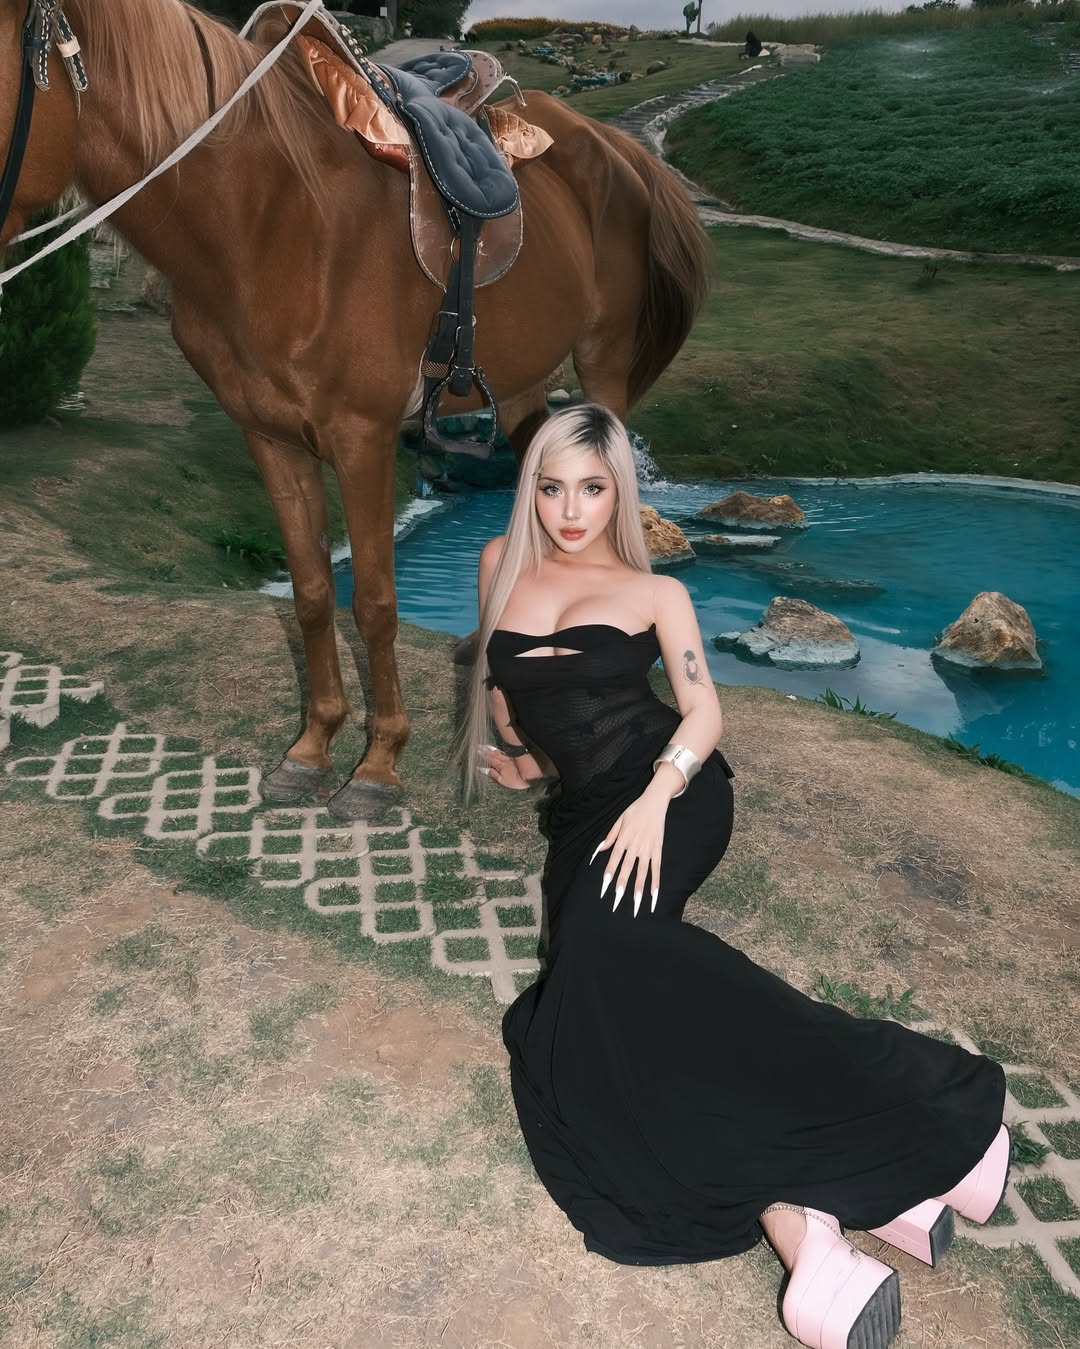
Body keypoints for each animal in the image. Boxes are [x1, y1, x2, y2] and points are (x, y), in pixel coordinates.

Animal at [0, 0, 709, 818]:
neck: (268, 220)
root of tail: (620, 150)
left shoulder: (363, 439)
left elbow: (372, 601)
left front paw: (377, 766)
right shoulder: (269, 437)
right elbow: (312, 593)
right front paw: (311, 749)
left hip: (602, 366)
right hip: (525, 389)